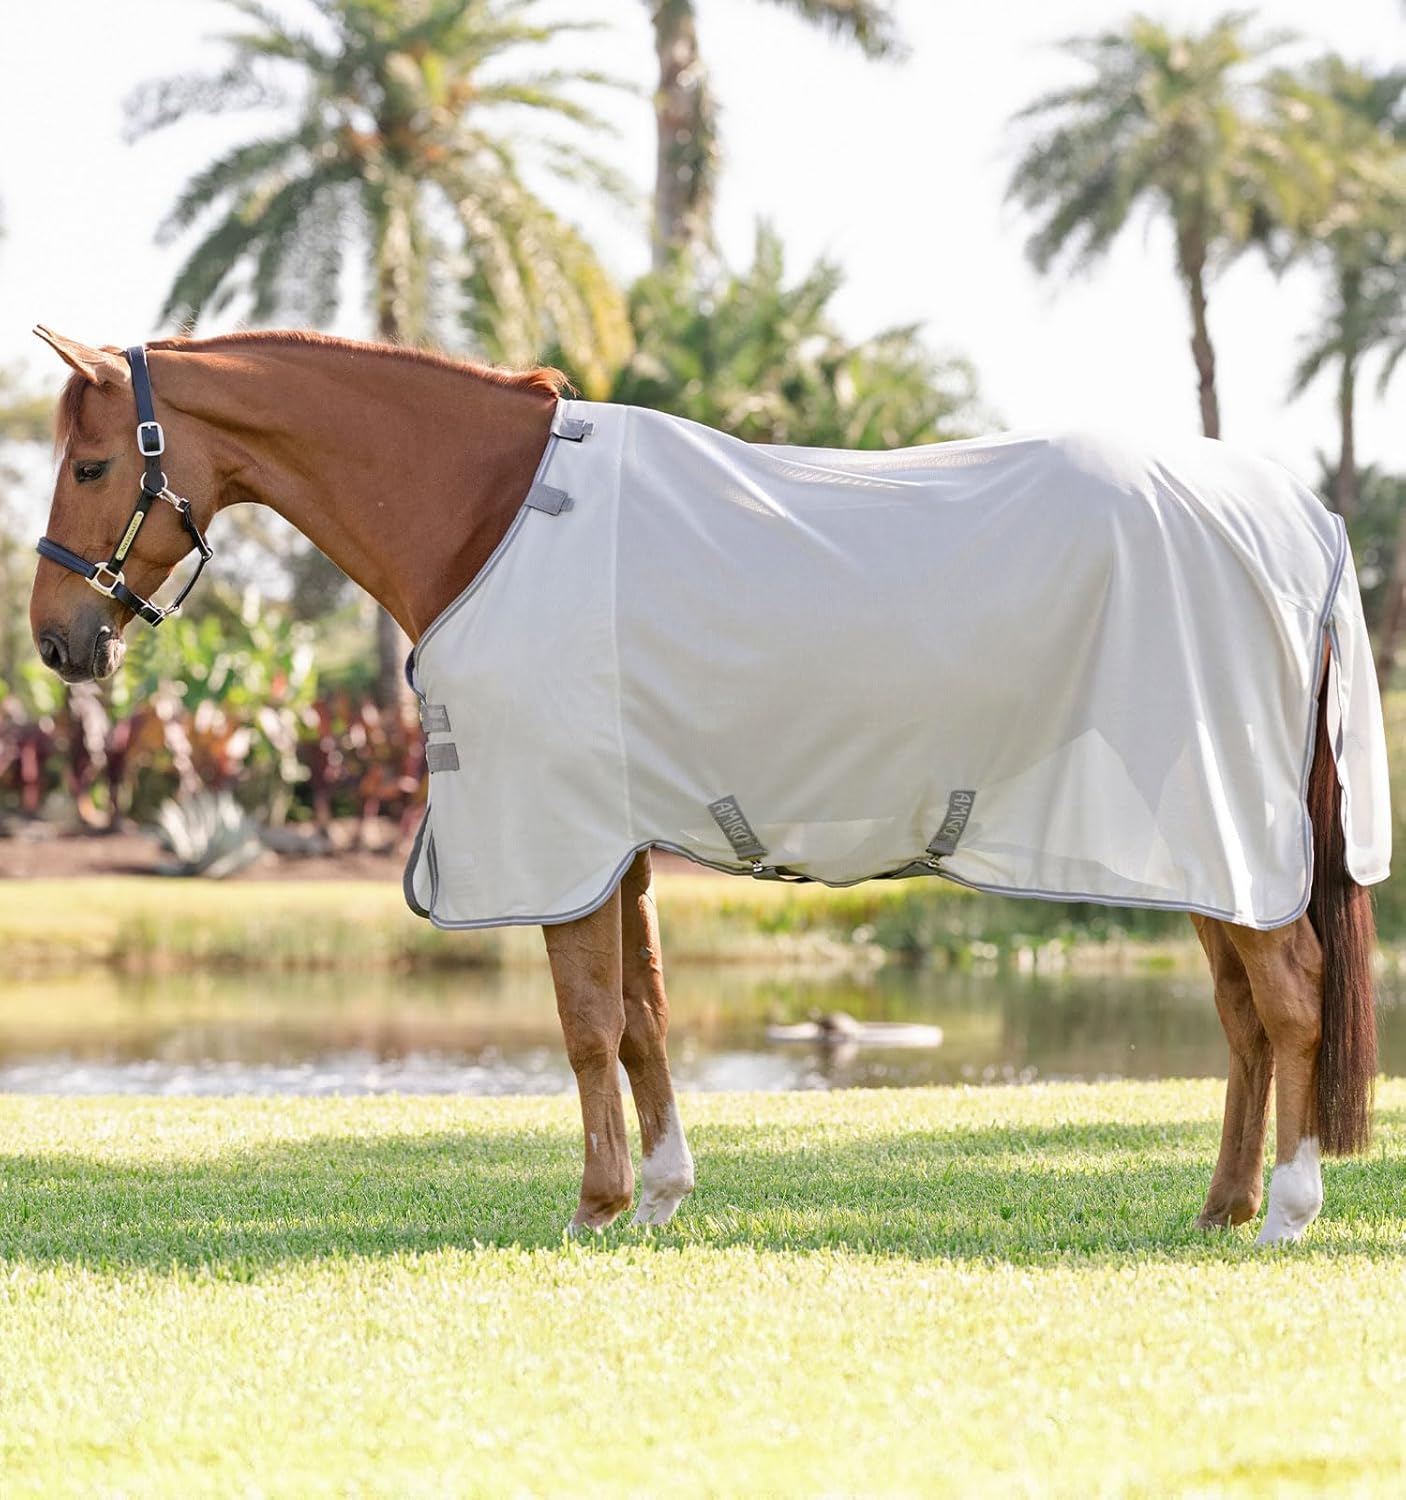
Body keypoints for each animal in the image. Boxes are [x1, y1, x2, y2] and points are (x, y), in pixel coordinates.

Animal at [27, 327, 1383, 1244]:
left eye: (90, 466)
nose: (56, 642)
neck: (493, 515)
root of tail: (1299, 522)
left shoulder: (562, 836)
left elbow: (583, 1024)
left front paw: (593, 1205)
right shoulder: (616, 844)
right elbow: (643, 1017)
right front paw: (662, 1197)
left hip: (1220, 835)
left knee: (1291, 1001)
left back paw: (1286, 1210)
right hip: (1208, 854)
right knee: (1245, 1018)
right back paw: (1219, 1208)